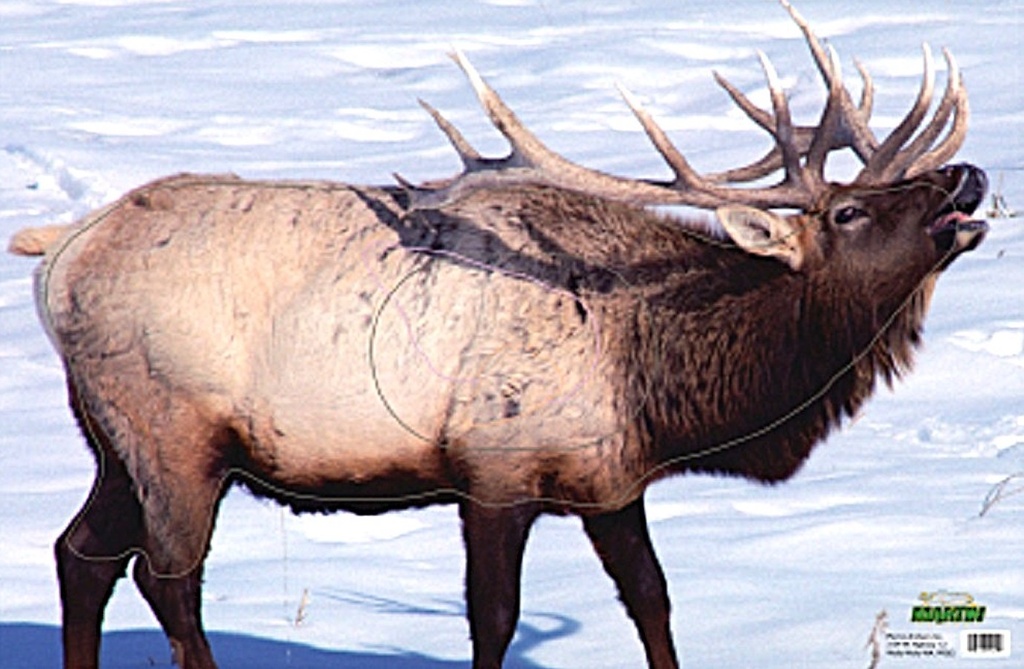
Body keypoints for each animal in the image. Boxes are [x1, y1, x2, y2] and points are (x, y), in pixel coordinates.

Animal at [7, 2, 988, 668]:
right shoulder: (493, 469)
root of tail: (60, 255)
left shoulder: (608, 479)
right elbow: (495, 616)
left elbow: (654, 599)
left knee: (80, 553)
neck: (658, 385)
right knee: (166, 575)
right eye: (849, 211)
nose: (969, 176)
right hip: (174, 431)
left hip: (111, 440)